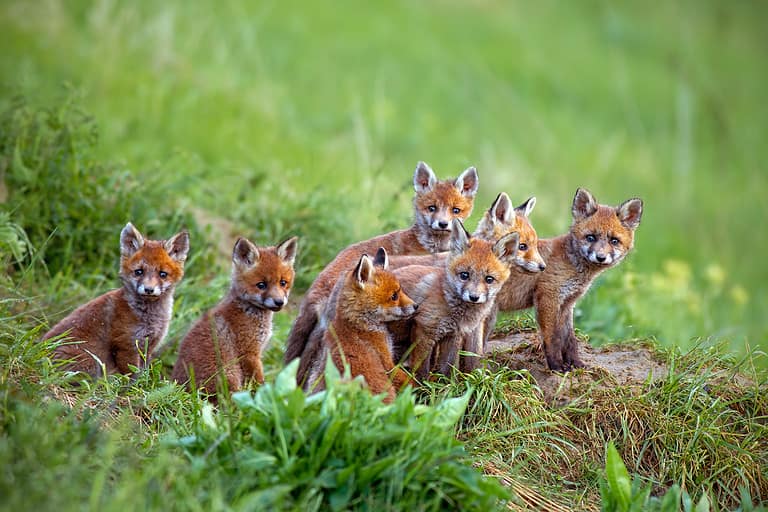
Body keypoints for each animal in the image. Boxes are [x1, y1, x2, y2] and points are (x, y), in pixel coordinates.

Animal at [43, 222, 190, 377]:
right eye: (139, 272)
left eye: (163, 274)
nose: (149, 289)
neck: (149, 318)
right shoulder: (126, 345)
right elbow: (133, 376)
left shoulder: (148, 346)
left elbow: (143, 372)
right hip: (90, 363)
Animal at [172, 236, 298, 396]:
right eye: (261, 285)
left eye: (283, 282)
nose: (279, 302)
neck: (248, 310)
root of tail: (183, 390)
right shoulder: (249, 353)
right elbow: (258, 383)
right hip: (229, 375)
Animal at [304, 249, 418, 404]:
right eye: (394, 296)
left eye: (401, 291)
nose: (416, 306)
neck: (358, 324)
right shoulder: (387, 362)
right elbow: (410, 381)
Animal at [390, 219, 520, 380]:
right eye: (464, 275)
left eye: (489, 279)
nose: (474, 297)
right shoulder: (424, 331)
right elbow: (422, 370)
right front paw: (421, 386)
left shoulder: (454, 334)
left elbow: (449, 366)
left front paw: (447, 385)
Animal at [485, 188, 643, 372]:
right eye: (591, 237)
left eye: (614, 241)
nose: (601, 257)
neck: (572, 265)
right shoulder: (548, 298)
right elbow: (552, 338)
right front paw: (557, 366)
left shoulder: (567, 304)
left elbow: (569, 340)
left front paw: (576, 364)